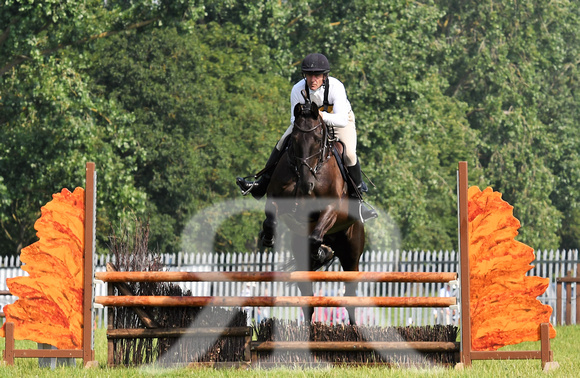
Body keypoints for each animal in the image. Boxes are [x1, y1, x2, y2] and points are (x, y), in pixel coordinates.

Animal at [260, 100, 364, 324]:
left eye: (317, 139)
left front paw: (320, 250)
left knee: (351, 296)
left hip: (351, 254)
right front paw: (268, 237)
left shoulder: (331, 208)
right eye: (294, 140)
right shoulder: (276, 198)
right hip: (301, 261)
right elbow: (270, 219)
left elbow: (316, 236)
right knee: (307, 299)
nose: (306, 185)